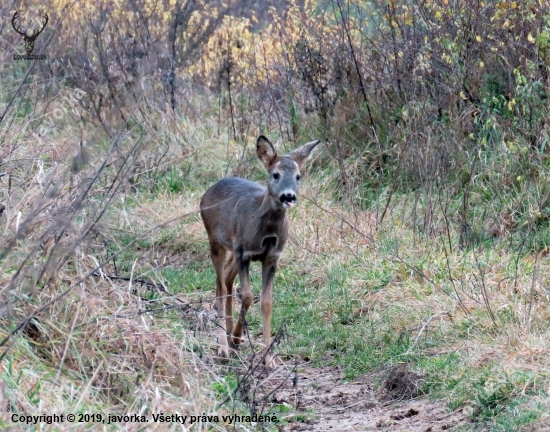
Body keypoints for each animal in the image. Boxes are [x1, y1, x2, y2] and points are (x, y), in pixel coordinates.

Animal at [201, 135, 322, 368]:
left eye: (298, 176)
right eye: (275, 174)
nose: (288, 196)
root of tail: (207, 191)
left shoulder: (272, 257)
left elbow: (266, 302)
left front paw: (268, 358)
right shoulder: (244, 253)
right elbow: (248, 296)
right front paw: (237, 338)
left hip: (232, 249)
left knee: (226, 280)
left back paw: (229, 334)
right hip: (216, 242)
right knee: (220, 287)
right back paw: (223, 347)